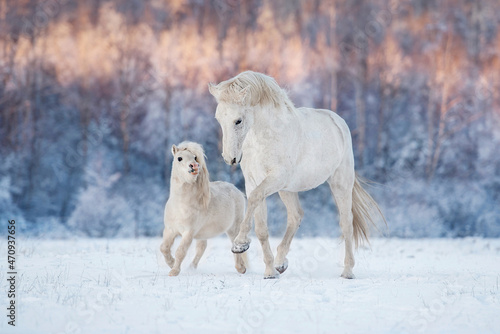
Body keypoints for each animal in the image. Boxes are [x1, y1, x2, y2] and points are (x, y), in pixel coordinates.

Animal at [159, 142, 247, 276]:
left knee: (235, 244)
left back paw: (241, 268)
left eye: (195, 157)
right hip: (203, 233)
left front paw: (174, 271)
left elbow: (180, 251)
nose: (194, 166)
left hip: (233, 228)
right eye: (179, 158)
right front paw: (171, 263)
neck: (180, 205)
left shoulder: (188, 233)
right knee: (202, 248)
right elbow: (164, 248)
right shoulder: (170, 230)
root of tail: (237, 190)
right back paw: (191, 268)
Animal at [209, 71, 384, 280]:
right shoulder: (253, 182)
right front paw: (269, 272)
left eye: (238, 120)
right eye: (219, 119)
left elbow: (254, 200)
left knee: (346, 223)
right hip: (288, 189)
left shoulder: (274, 179)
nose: (230, 158)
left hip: (340, 183)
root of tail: (337, 121)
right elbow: (261, 228)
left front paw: (240, 244)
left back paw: (347, 271)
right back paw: (280, 263)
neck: (265, 137)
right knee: (296, 216)